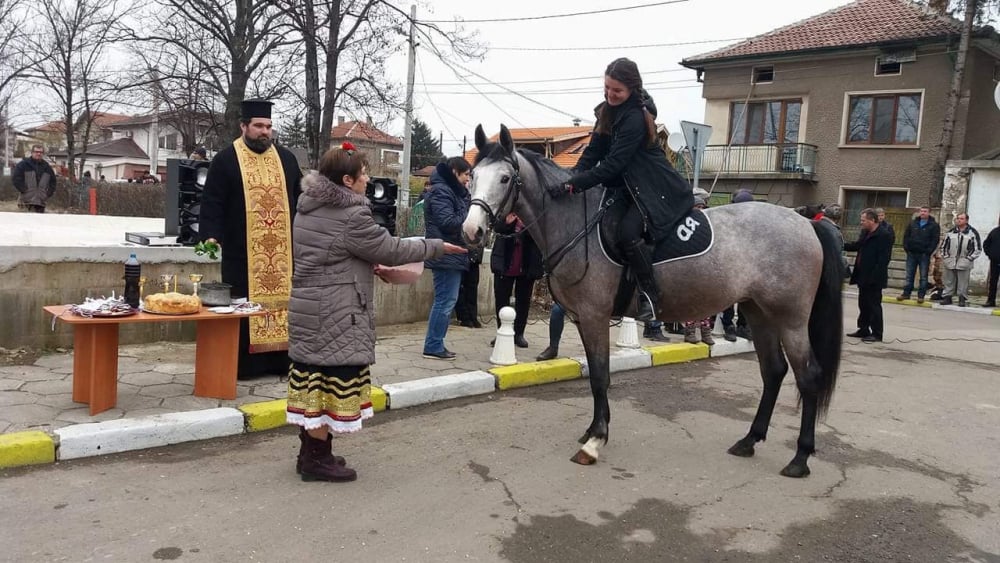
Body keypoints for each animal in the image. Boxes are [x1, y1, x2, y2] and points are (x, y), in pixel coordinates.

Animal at [460, 125, 844, 478]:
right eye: (473, 177)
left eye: (505, 178)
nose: (471, 231)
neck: (576, 224)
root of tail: (806, 223)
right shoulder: (581, 318)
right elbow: (596, 374)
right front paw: (593, 430)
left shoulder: (595, 315)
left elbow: (600, 377)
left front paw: (595, 441)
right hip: (758, 312)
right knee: (774, 371)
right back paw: (749, 440)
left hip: (791, 319)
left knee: (807, 376)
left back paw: (800, 458)